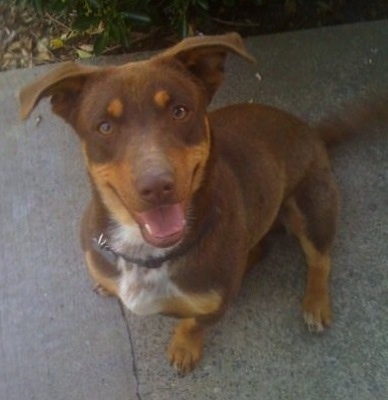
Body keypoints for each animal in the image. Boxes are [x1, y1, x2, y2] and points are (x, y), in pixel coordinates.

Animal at [19, 32, 382, 374]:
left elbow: (194, 322)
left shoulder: (215, 304)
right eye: (104, 127)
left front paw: (184, 347)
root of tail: (315, 132)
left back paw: (316, 303)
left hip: (313, 206)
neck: (147, 253)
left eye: (179, 111)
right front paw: (108, 286)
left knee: (320, 258)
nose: (157, 186)